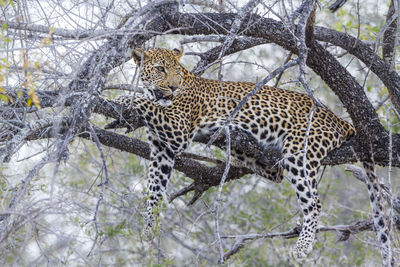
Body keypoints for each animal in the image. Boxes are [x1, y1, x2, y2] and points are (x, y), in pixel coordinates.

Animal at [108, 47, 356, 260]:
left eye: (176, 72)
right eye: (160, 69)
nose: (173, 87)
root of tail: (338, 119)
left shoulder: (178, 128)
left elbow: (150, 106)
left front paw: (123, 99)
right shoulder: (162, 150)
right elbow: (155, 189)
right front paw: (149, 228)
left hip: (299, 150)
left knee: (314, 203)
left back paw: (302, 246)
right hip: (264, 161)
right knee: (277, 174)